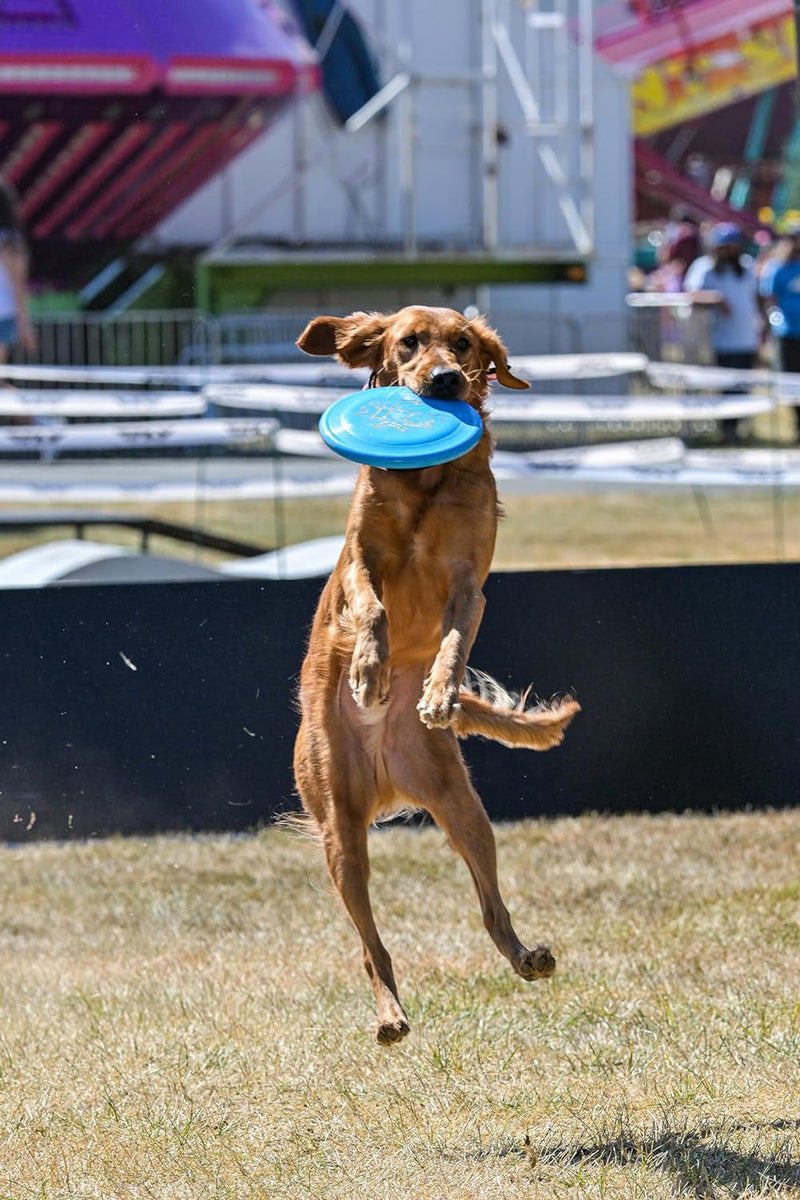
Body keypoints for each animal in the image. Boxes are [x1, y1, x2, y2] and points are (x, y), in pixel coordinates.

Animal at [291, 302, 578, 1041]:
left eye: (465, 344)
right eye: (407, 343)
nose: (446, 380)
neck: (423, 483)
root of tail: (386, 774)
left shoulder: (467, 584)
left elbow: (452, 643)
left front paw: (440, 693)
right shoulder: (362, 556)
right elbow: (370, 606)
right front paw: (369, 672)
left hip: (462, 808)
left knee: (490, 906)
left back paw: (527, 956)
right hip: (338, 830)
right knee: (372, 948)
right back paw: (390, 1014)